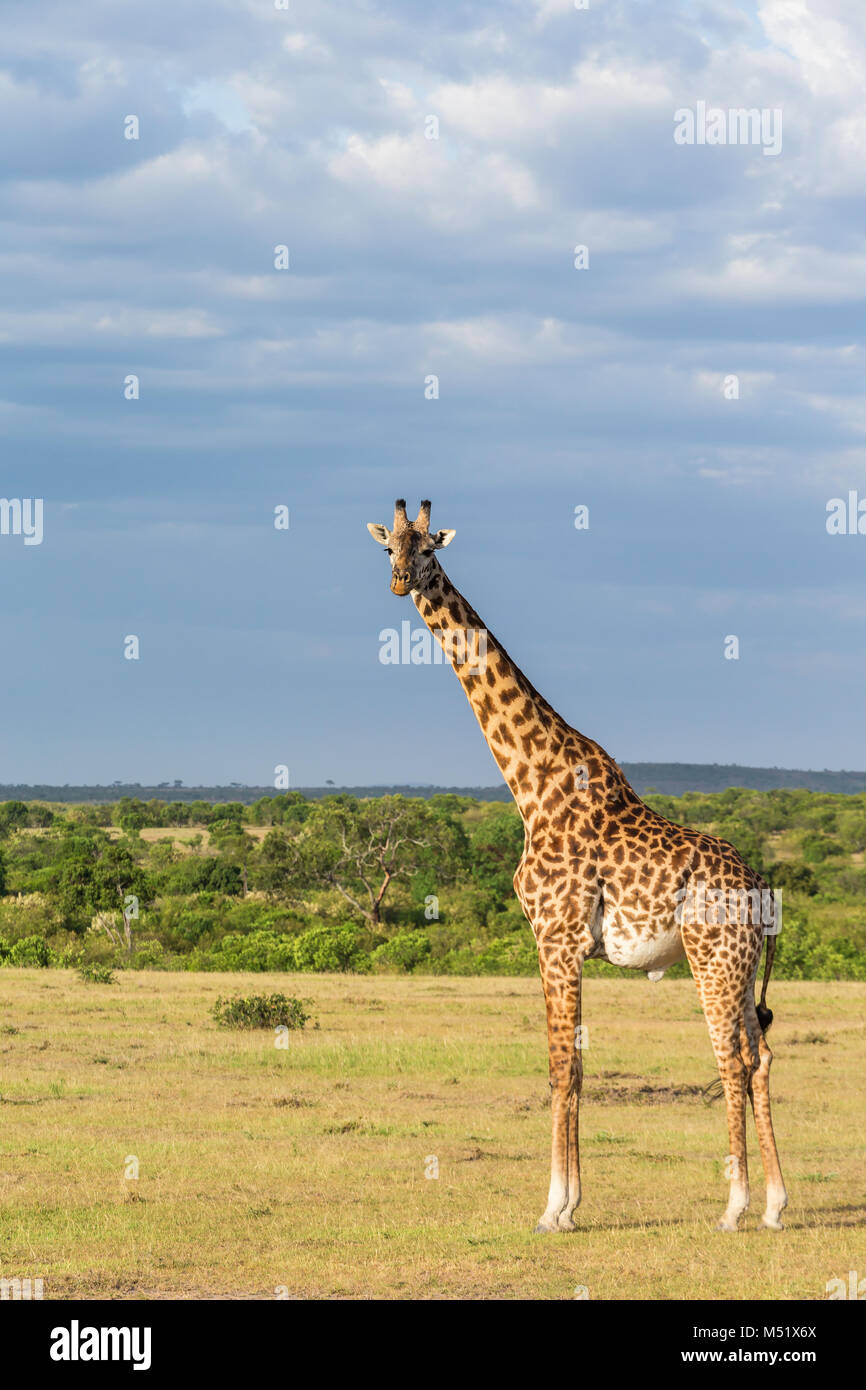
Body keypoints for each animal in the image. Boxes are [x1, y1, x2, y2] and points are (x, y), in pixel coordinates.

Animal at [369, 503, 789, 1239]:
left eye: (428, 548)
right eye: (389, 545)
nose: (399, 581)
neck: (530, 783)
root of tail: (761, 891)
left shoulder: (556, 937)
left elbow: (561, 1068)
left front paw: (554, 1209)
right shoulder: (558, 944)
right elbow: (577, 1066)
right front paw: (569, 1203)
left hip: (713, 959)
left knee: (732, 1059)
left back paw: (734, 1207)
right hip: (737, 969)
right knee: (759, 1055)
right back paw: (773, 1205)